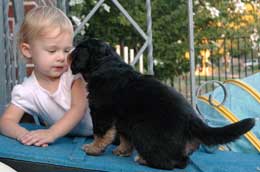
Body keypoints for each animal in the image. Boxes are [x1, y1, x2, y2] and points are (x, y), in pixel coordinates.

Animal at [70, 38, 255, 169]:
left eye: (77, 51)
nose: (69, 53)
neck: (105, 65)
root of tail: (192, 119)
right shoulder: (122, 119)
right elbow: (124, 137)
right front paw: (122, 151)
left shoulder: (100, 112)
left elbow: (100, 134)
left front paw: (92, 148)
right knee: (182, 161)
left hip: (142, 130)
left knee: (169, 163)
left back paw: (143, 159)